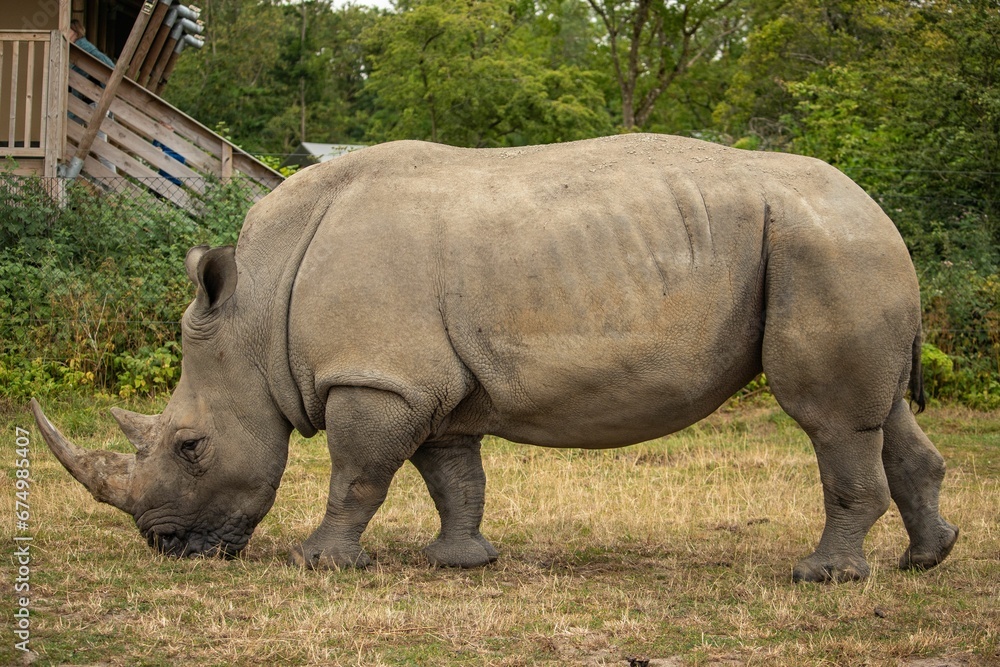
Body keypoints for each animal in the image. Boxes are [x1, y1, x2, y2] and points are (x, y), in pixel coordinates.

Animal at [31, 133, 958, 582]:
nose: (166, 547)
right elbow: (453, 474)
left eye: (191, 446)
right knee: (885, 413)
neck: (255, 314)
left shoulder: (377, 376)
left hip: (823, 249)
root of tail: (881, 214)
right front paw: (461, 562)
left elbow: (357, 473)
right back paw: (926, 560)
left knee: (830, 417)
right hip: (844, 252)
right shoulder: (426, 382)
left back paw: (823, 579)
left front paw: (319, 563)